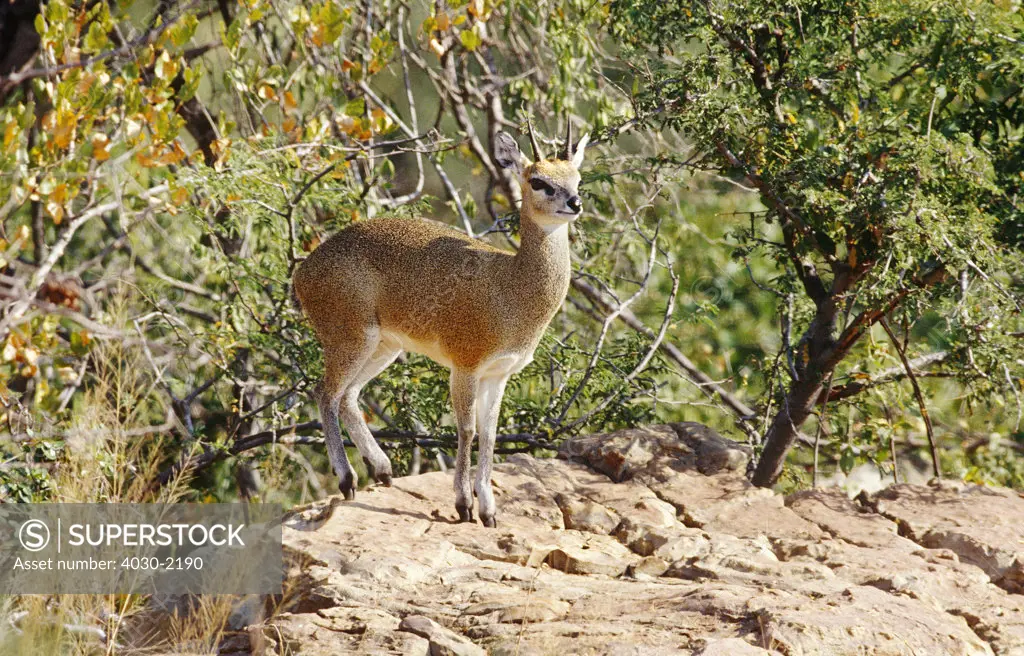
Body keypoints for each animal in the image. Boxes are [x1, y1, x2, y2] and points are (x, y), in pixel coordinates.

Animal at [292, 118, 589, 528]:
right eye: (538, 181)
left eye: (577, 178)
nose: (574, 203)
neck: (510, 287)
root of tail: (303, 271)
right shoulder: (464, 366)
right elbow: (466, 429)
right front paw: (464, 505)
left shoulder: (498, 373)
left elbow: (490, 434)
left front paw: (489, 510)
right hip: (350, 339)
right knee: (325, 393)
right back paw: (347, 480)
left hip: (385, 347)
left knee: (348, 397)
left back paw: (382, 470)